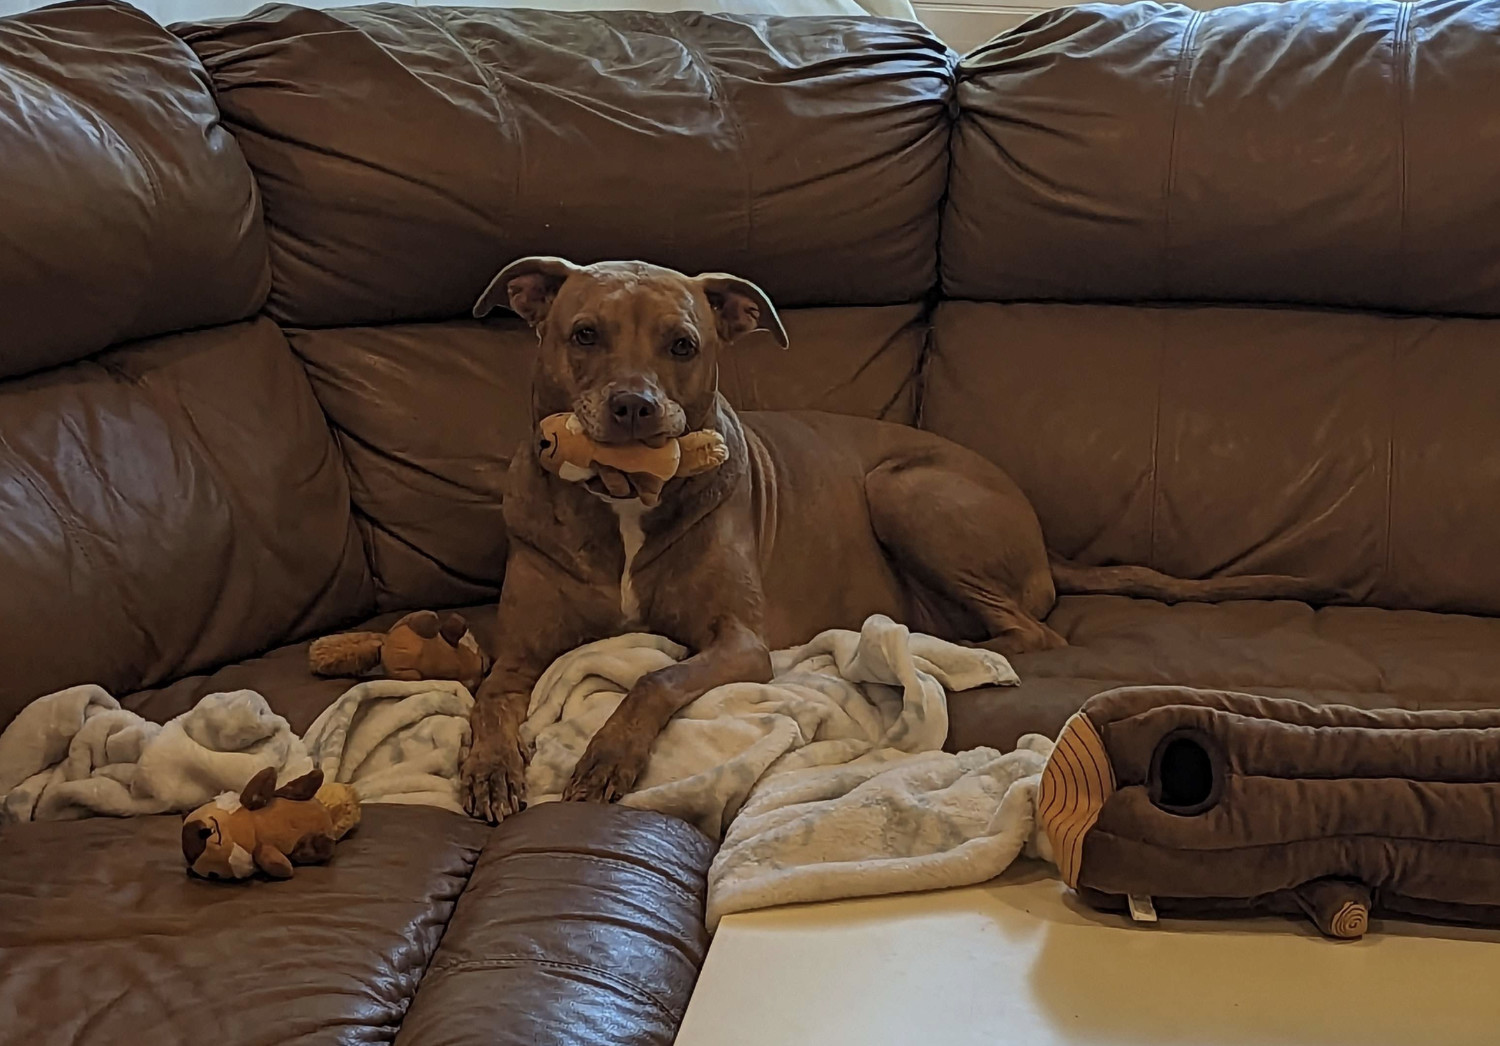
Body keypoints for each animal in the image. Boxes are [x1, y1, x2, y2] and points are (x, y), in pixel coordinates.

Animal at [456, 256, 1068, 822]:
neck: (625, 495)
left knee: (1035, 634)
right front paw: (490, 770)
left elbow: (657, 676)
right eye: (584, 334)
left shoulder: (741, 643)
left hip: (900, 487)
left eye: (683, 345)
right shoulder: (519, 657)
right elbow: (488, 702)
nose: (634, 405)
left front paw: (608, 757)